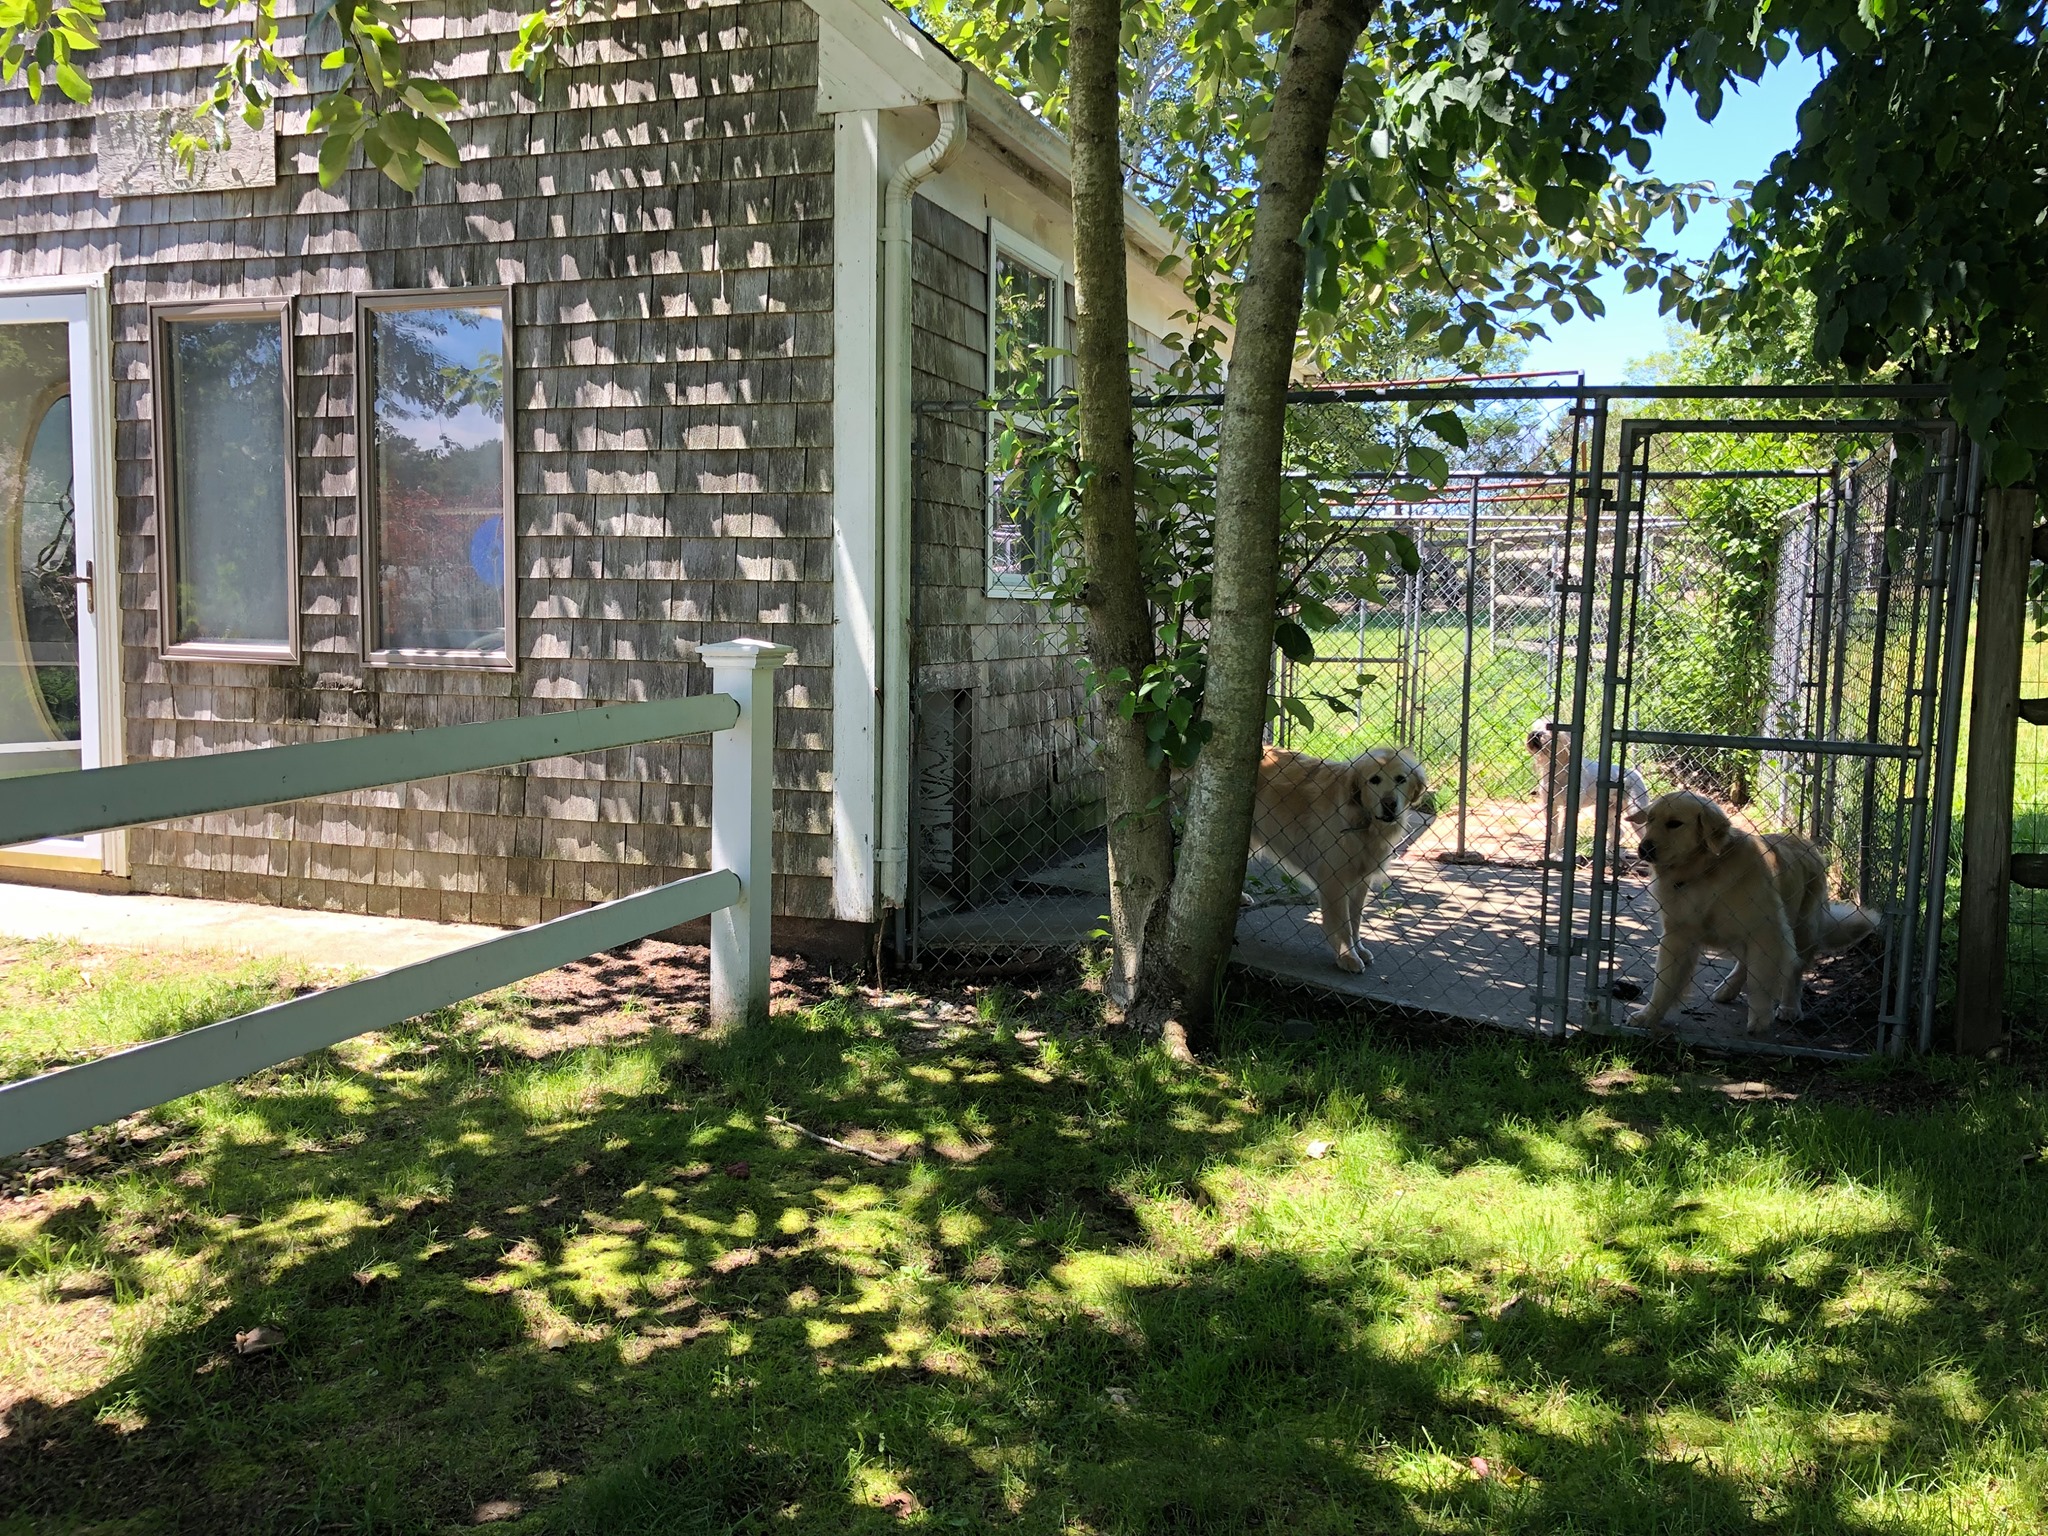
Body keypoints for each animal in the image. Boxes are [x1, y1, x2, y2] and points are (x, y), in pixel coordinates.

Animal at [1245, 745, 1425, 974]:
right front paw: (1347, 956)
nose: (1389, 804)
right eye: (1374, 780)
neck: (1362, 820)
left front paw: (1359, 950)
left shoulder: (1360, 881)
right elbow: (1343, 925)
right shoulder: (1334, 880)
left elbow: (1356, 921)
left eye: (1400, 779)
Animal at [1531, 720, 1654, 860]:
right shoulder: (1549, 806)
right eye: (1535, 726)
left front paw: (1558, 856)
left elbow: (1562, 834)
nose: (1535, 734)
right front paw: (1550, 854)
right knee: (1619, 832)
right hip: (1608, 812)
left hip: (1635, 810)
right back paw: (1609, 853)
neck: (1559, 769)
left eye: (1550, 728)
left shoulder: (1570, 807)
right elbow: (1552, 832)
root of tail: (1636, 773)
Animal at [1622, 794, 1875, 1036]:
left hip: (1803, 929)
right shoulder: (1678, 936)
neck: (1704, 871)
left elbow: (1760, 980)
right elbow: (1663, 982)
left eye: (1674, 823)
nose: (1644, 848)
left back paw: (1789, 1007)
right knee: (1745, 962)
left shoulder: (1767, 932)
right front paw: (1649, 1016)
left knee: (1793, 971)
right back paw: (1728, 989)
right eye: (1650, 820)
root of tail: (1806, 842)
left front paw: (1760, 1019)